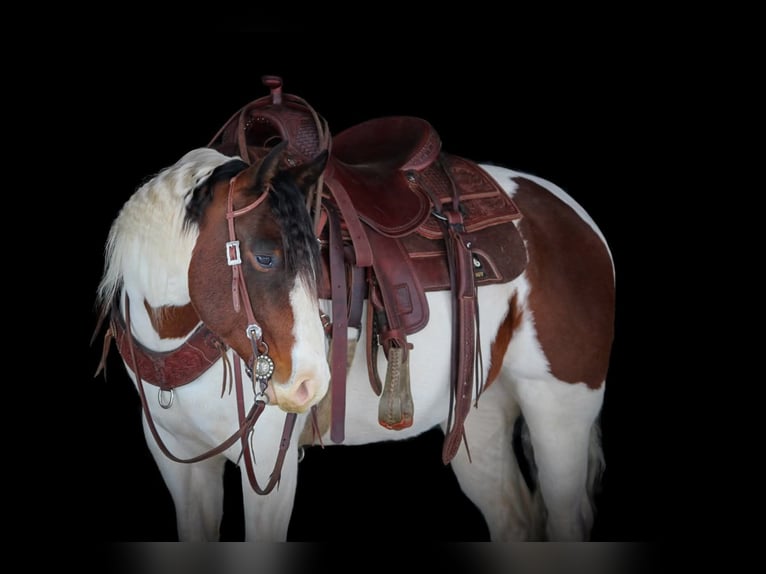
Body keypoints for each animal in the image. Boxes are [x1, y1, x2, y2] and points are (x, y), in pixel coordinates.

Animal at [93, 80, 615, 542]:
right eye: (264, 257)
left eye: (315, 258)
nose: (310, 384)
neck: (174, 330)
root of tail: (569, 214)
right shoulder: (179, 465)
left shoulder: (269, 466)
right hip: (481, 413)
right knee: (515, 521)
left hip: (560, 411)